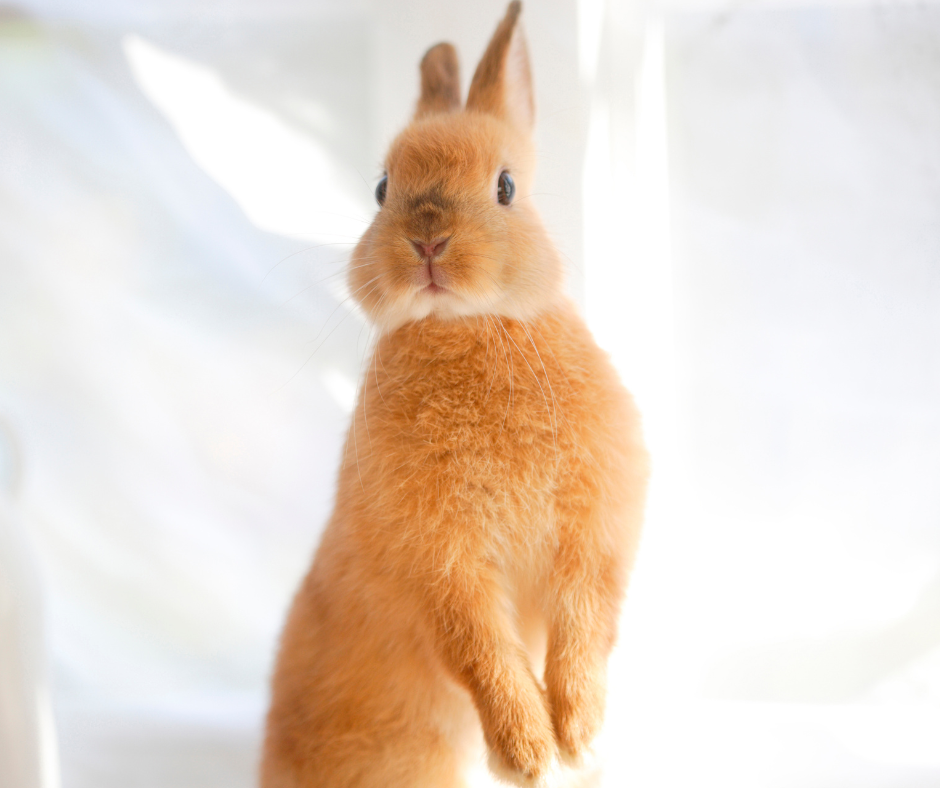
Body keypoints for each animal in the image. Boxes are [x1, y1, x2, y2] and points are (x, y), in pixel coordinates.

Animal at [260, 3, 648, 786]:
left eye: (505, 187)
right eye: (383, 189)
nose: (428, 240)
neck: (467, 326)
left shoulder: (594, 534)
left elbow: (584, 626)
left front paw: (576, 736)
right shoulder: (441, 565)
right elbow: (482, 652)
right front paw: (527, 753)